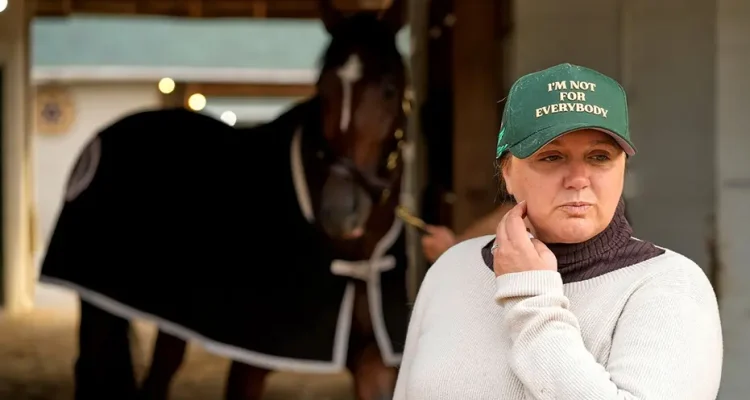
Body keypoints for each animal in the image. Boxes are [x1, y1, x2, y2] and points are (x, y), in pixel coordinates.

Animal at [38, 2, 412, 400]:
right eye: (322, 89)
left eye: (390, 90)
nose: (339, 212)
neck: (355, 259)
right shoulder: (249, 363)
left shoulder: (374, 364)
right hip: (98, 309)